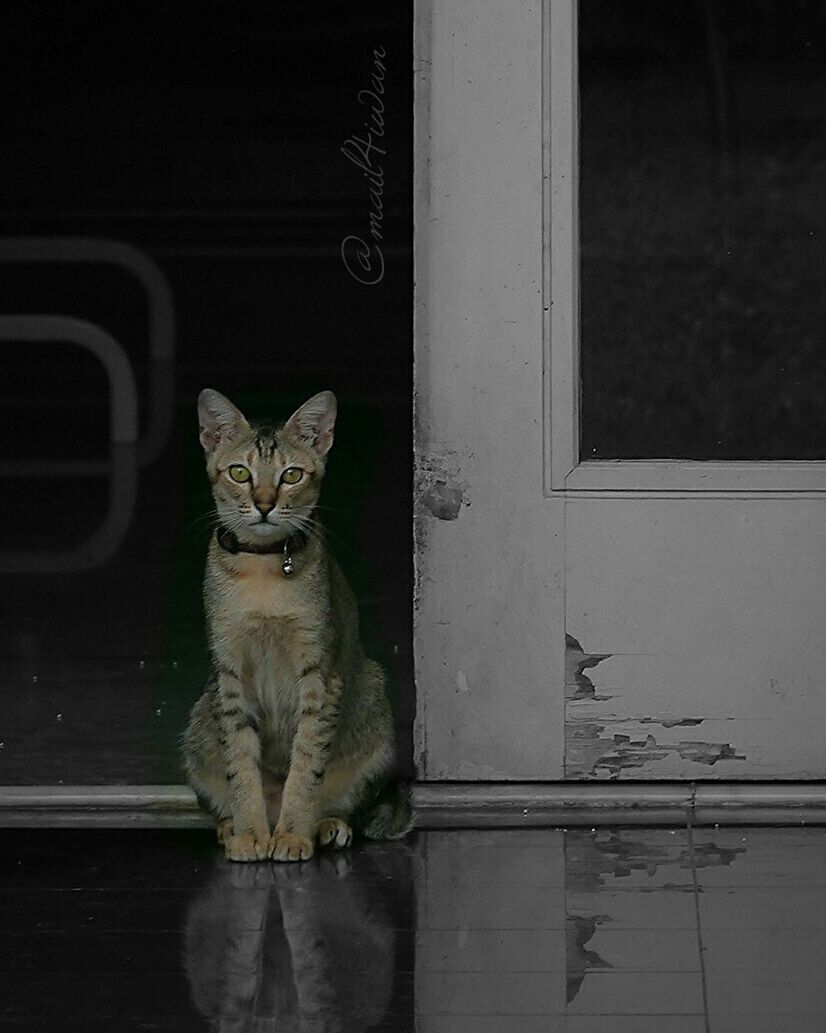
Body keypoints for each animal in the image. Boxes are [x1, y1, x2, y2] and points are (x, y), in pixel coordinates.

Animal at [182, 388, 410, 863]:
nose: (265, 504)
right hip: (198, 724)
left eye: (291, 475)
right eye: (239, 472)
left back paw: (324, 826)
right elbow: (240, 764)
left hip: (374, 705)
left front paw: (291, 834)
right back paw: (233, 826)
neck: (263, 571)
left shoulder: (320, 674)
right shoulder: (229, 673)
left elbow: (306, 765)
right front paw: (250, 833)